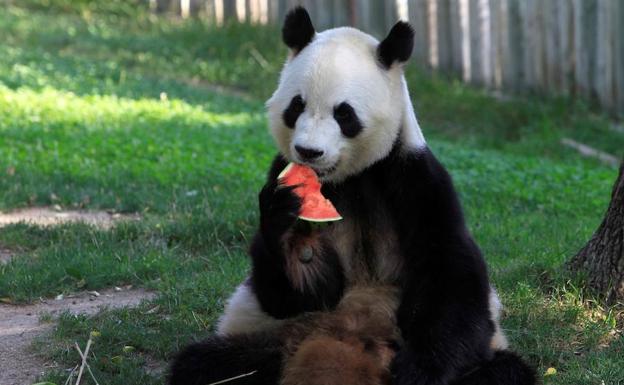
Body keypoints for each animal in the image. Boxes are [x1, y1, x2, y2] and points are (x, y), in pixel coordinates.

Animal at [169, 6, 536, 384]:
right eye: (296, 106)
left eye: (343, 113)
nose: (308, 152)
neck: (349, 177)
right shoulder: (279, 171)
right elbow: (295, 295)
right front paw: (287, 227)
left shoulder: (416, 179)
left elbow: (451, 276)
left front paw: (419, 372)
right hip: (271, 337)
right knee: (209, 363)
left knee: (505, 371)